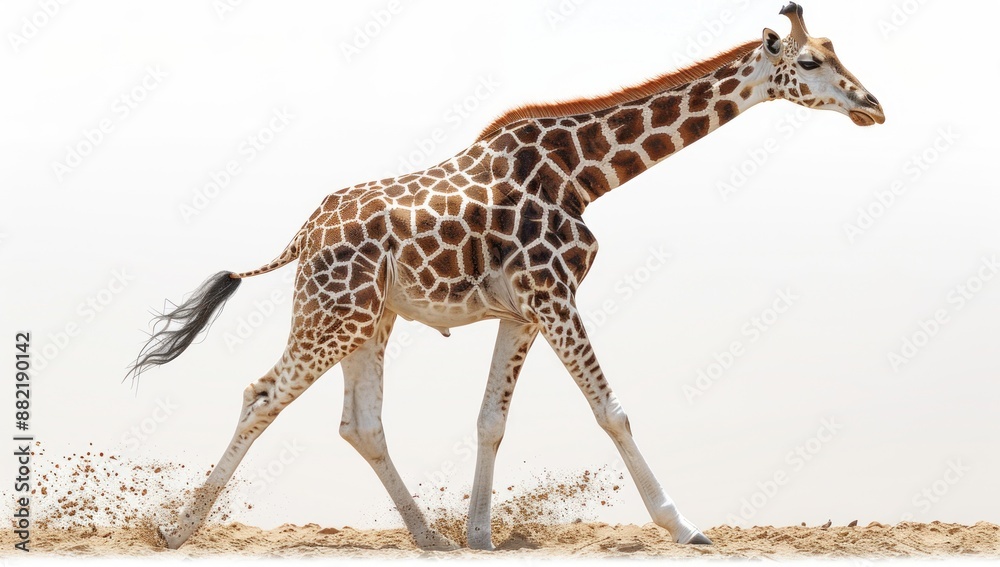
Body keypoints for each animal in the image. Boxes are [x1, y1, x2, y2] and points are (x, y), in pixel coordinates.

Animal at [130, 3, 883, 551]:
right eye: (810, 60)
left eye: (839, 51)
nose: (872, 104)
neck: (583, 175)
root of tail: (303, 234)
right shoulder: (554, 293)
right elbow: (611, 409)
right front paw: (684, 525)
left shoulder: (522, 310)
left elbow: (491, 419)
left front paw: (479, 534)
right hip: (333, 314)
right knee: (262, 394)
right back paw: (176, 529)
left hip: (370, 319)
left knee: (361, 424)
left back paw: (428, 535)